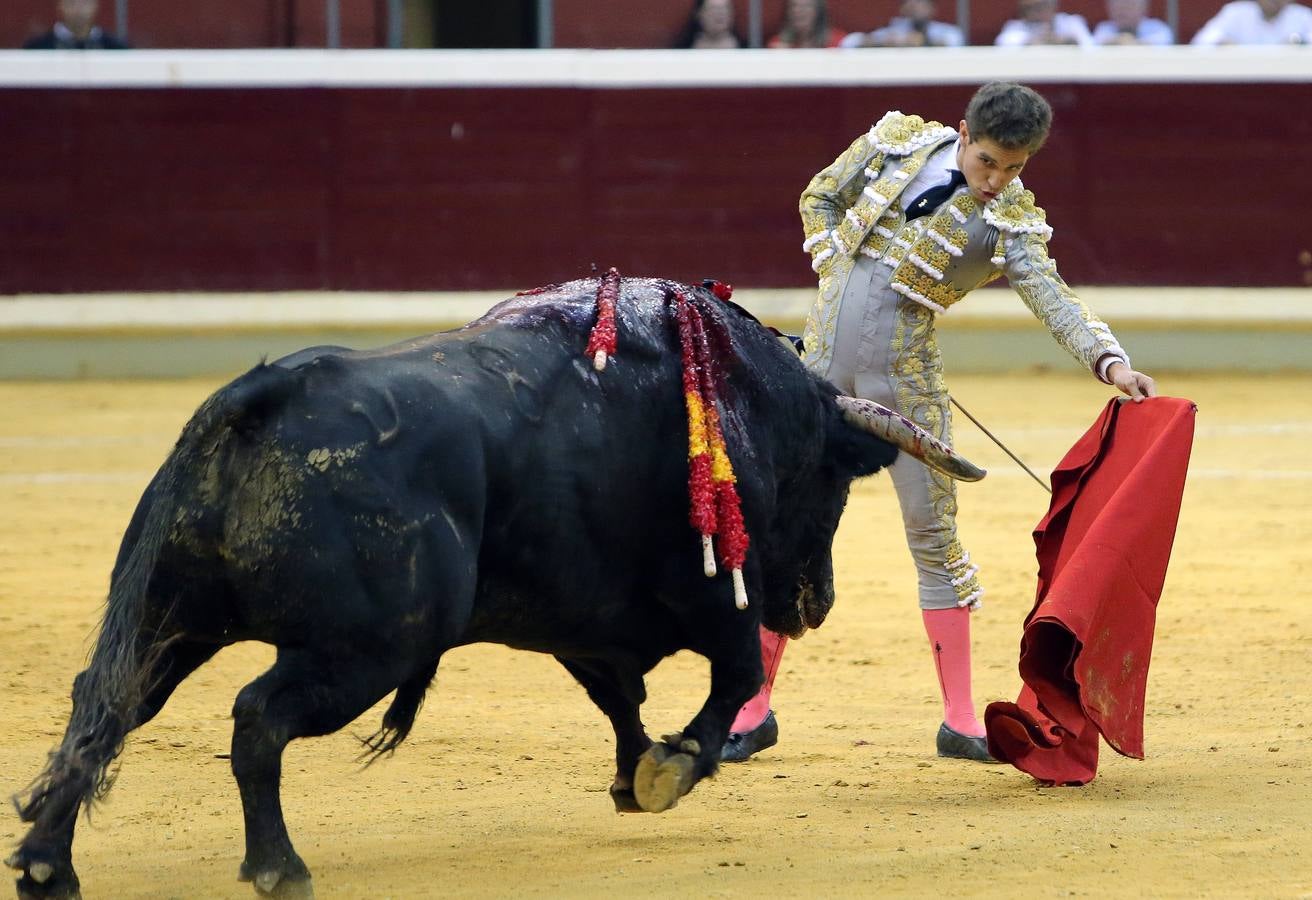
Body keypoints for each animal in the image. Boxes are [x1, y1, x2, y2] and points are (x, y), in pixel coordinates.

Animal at [7, 276, 976, 900]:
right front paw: (672, 769)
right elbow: (725, 679)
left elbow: (618, 698)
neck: (743, 404)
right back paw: (280, 867)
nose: (816, 604)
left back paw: (49, 864)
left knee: (104, 706)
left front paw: (632, 775)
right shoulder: (711, 600)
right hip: (363, 649)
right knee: (257, 719)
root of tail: (260, 399)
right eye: (833, 482)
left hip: (169, 621)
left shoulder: (581, 615)